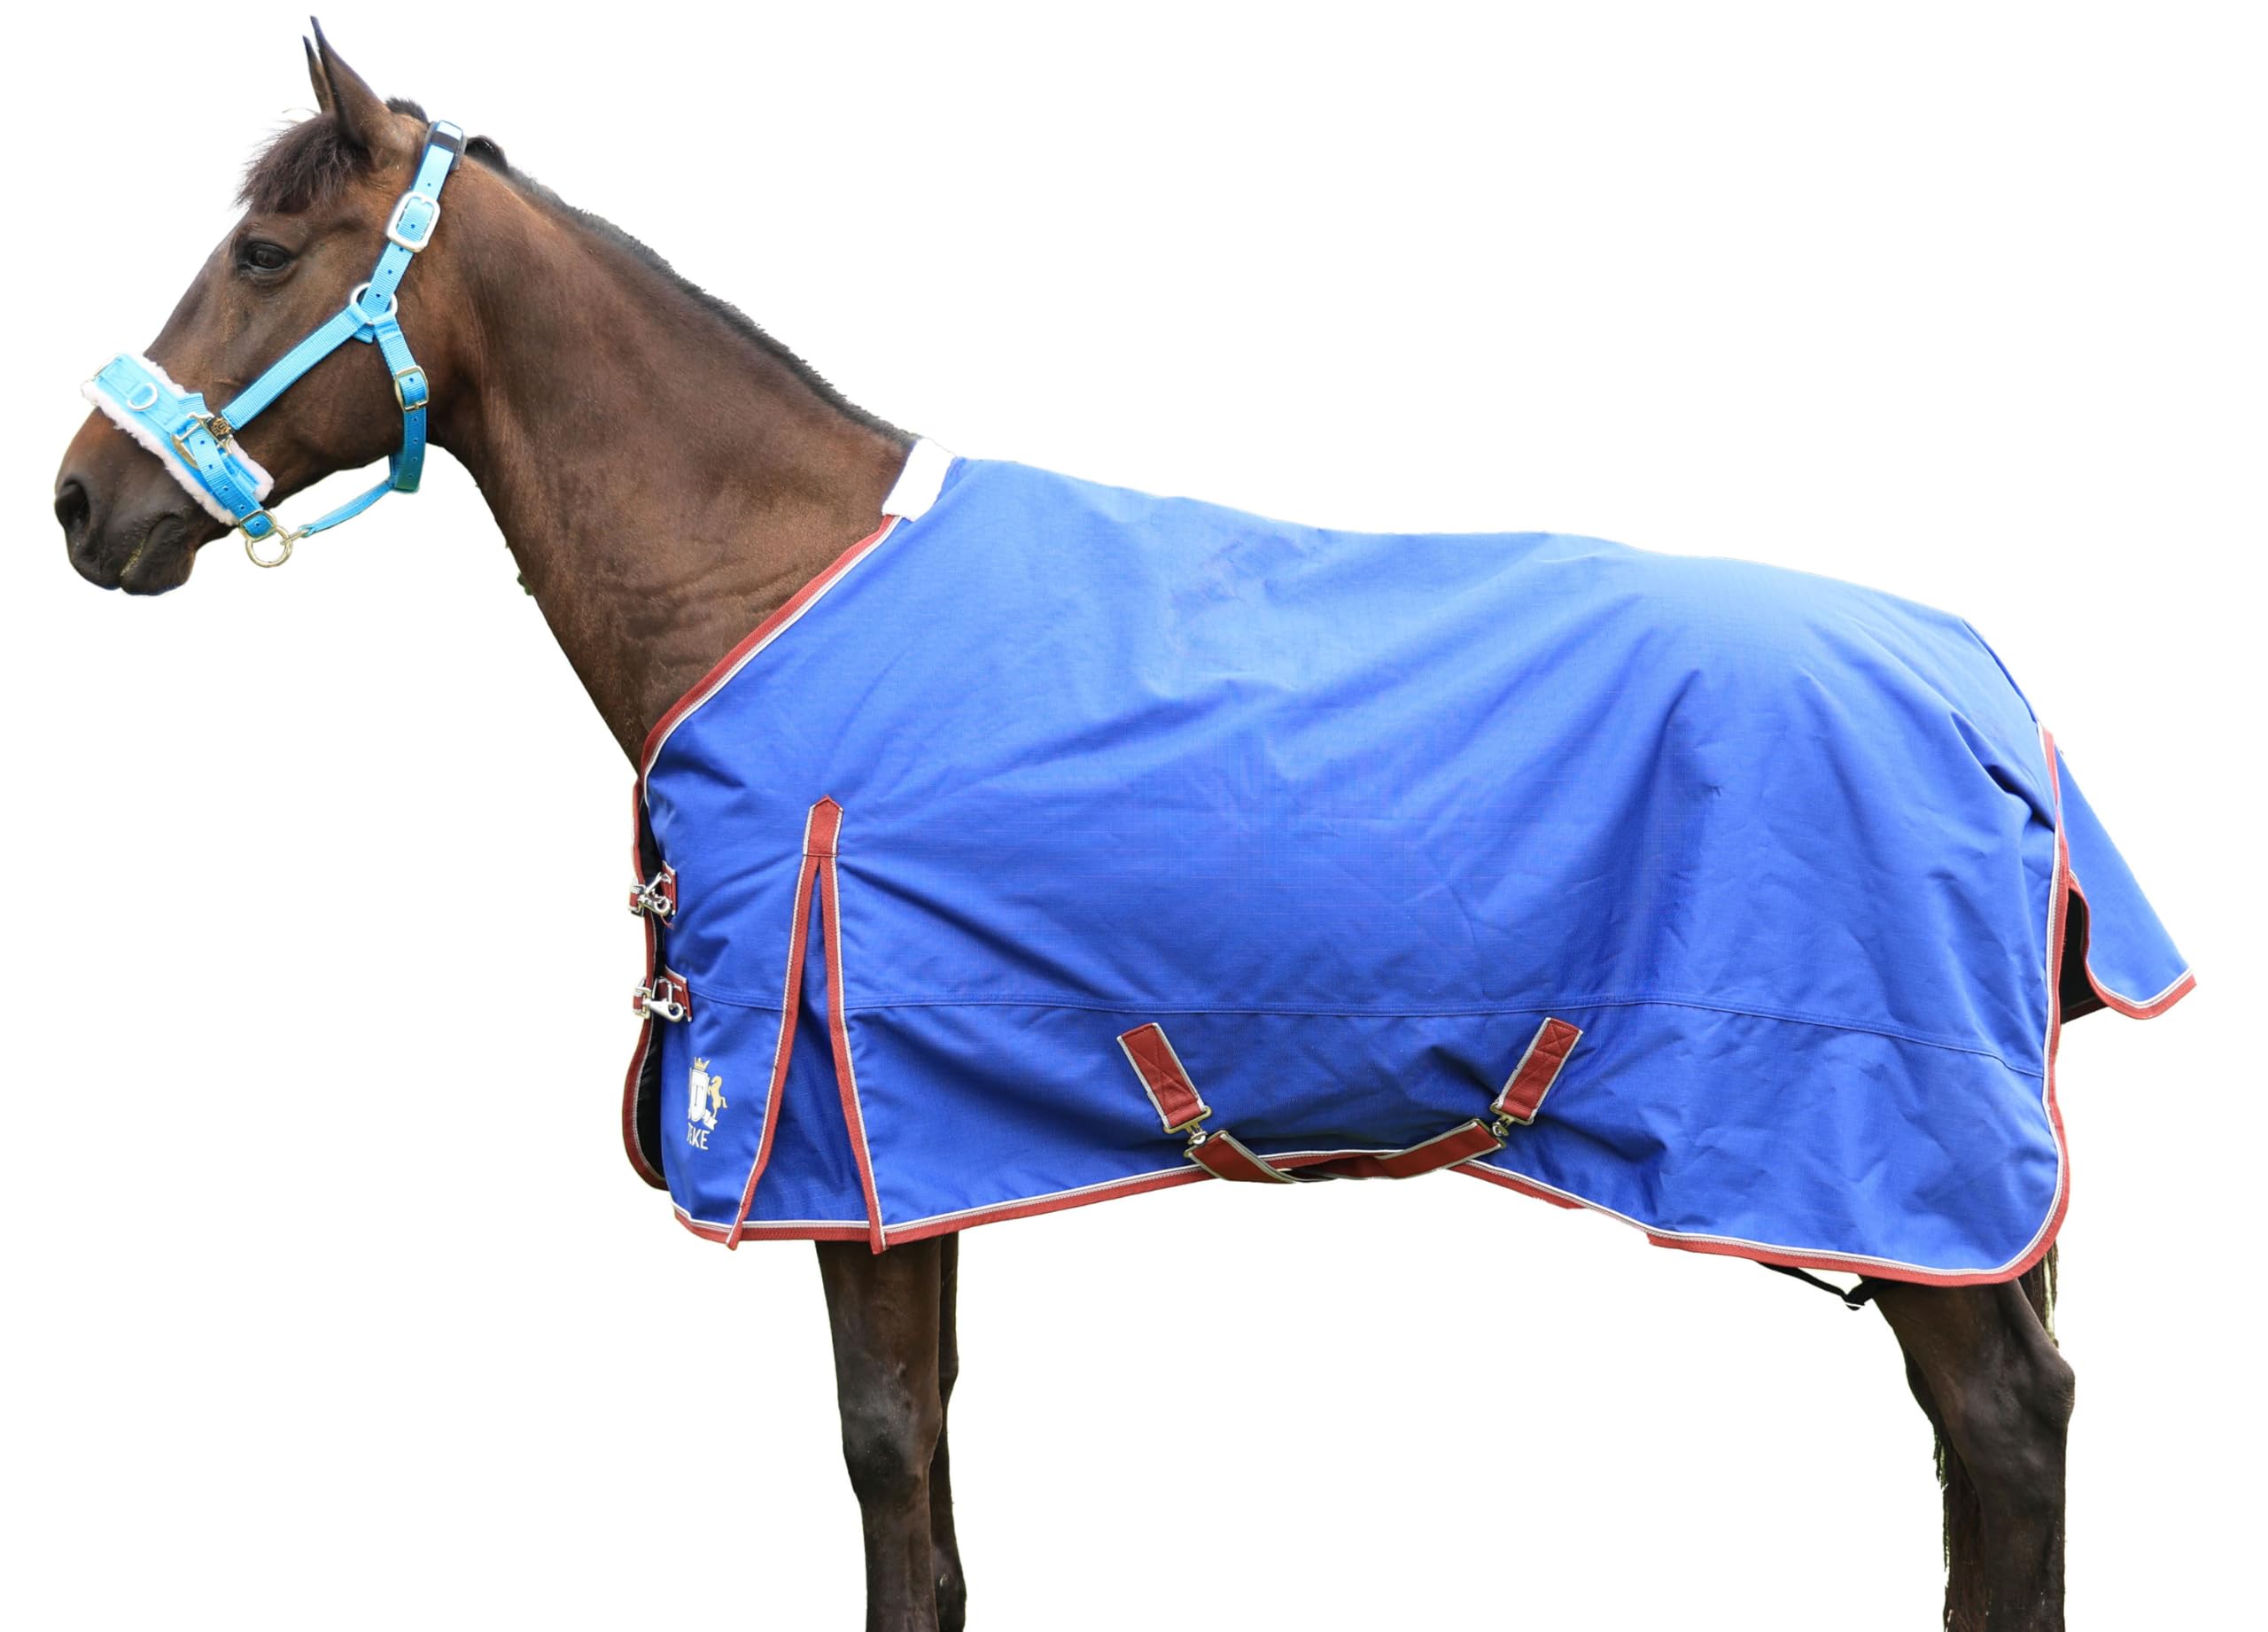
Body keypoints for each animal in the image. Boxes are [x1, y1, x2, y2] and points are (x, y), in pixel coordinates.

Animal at [52, 28, 2182, 1631]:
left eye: (264, 251)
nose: (84, 502)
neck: (771, 580)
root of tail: (1985, 692)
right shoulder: (918, 1153)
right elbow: (922, 1470)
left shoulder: (841, 1134)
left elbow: (885, 1458)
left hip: (1896, 1169)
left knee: (2004, 1436)